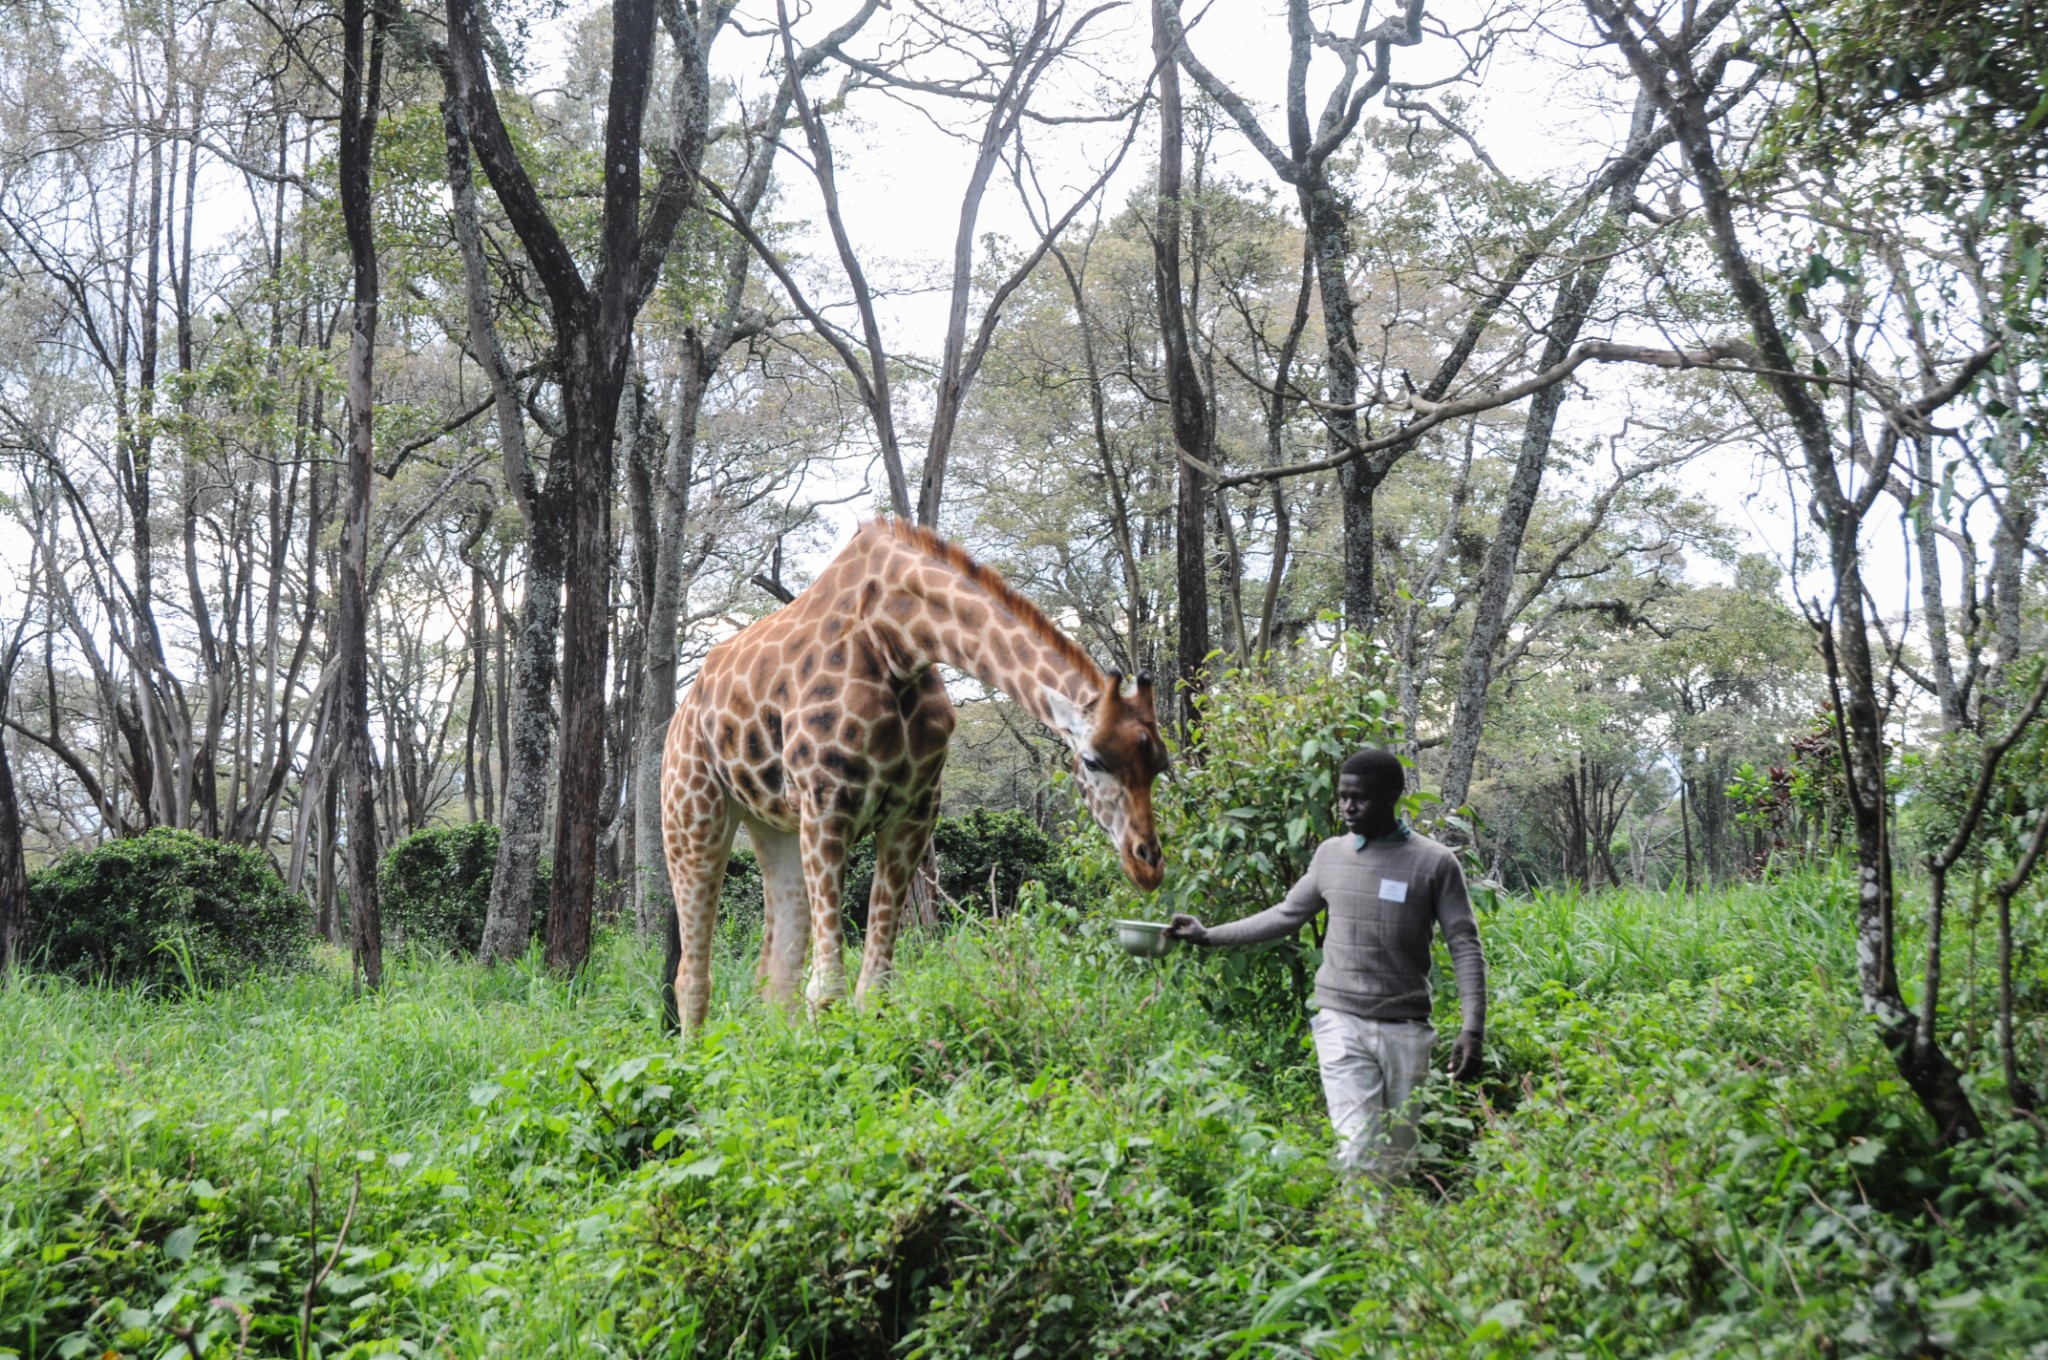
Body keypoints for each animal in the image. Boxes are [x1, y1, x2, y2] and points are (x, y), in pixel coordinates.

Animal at [659, 520, 1171, 1032]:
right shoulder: (828, 805)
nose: (1147, 864)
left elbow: (873, 989)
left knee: (773, 978)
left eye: (1160, 765)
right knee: (691, 977)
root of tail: (682, 714)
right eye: (1093, 761)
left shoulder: (914, 813)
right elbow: (827, 993)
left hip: (776, 825)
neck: (898, 640)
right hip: (692, 813)